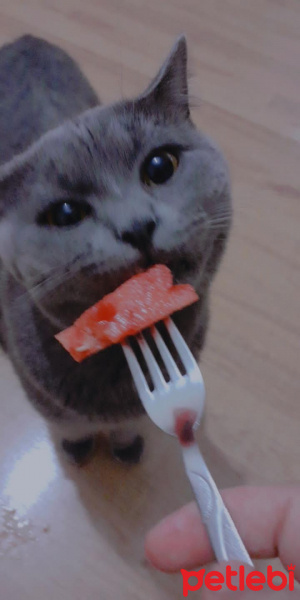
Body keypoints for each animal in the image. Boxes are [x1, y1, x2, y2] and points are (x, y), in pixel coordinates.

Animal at [0, 32, 232, 464]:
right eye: (66, 212)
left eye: (160, 166)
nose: (137, 227)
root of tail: (25, 39)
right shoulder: (42, 395)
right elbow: (69, 424)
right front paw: (78, 448)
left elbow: (135, 422)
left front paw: (126, 447)